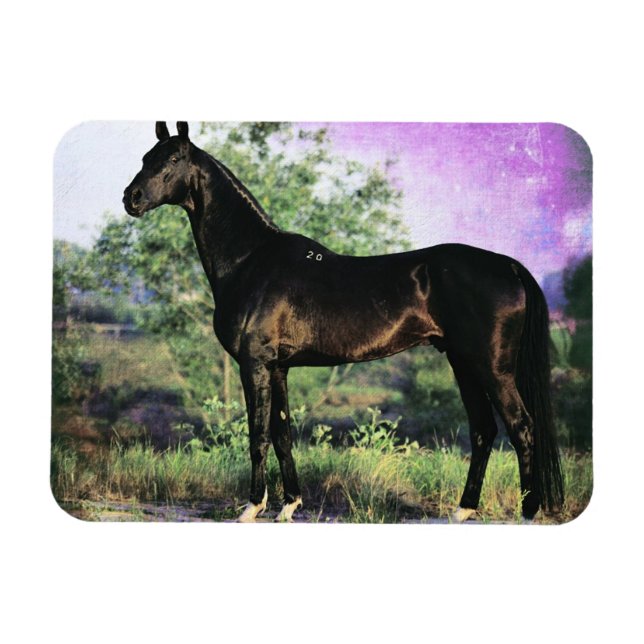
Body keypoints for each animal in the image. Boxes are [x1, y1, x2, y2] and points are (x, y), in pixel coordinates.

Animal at [123, 121, 564, 523]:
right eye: (145, 157)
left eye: (174, 159)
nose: (132, 198)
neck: (250, 260)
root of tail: (508, 265)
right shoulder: (278, 367)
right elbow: (282, 434)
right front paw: (289, 505)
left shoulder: (255, 363)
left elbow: (258, 435)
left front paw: (252, 507)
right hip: (463, 362)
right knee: (484, 430)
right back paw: (463, 509)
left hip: (492, 367)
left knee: (521, 428)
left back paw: (527, 511)